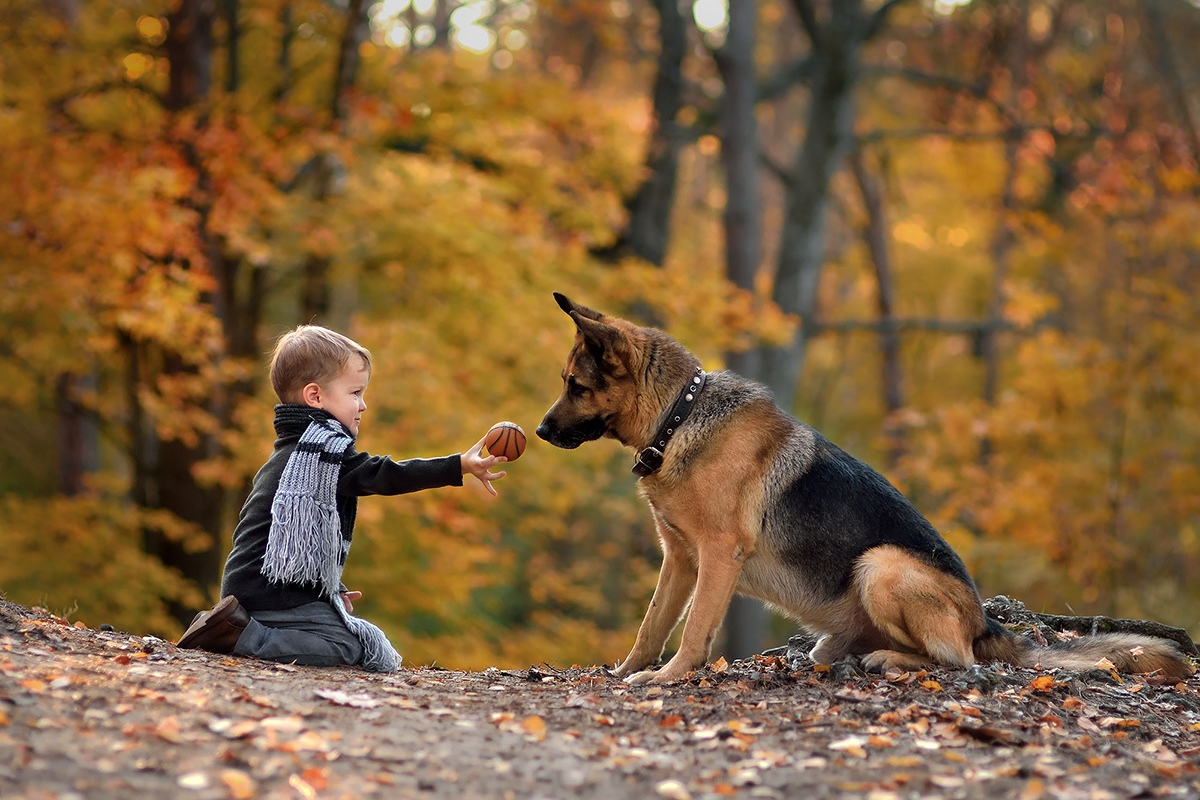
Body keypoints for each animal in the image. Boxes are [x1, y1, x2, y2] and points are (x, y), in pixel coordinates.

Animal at [540, 292, 1195, 681]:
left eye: (575, 385)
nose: (541, 431)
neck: (681, 414)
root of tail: (986, 622)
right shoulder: (679, 559)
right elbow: (651, 625)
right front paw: (627, 673)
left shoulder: (718, 557)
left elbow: (696, 629)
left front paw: (671, 678)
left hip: (882, 565)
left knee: (954, 661)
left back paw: (887, 658)